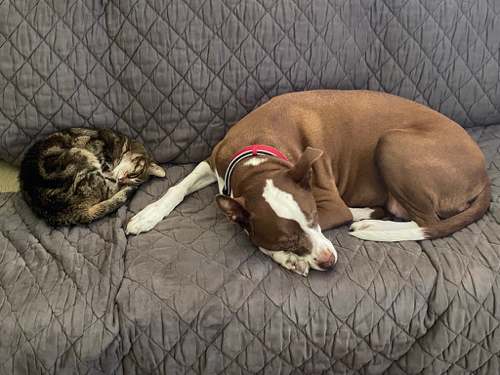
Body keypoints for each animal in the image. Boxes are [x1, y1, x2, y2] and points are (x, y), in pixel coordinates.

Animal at [124, 90, 488, 278]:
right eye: (287, 237)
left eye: (314, 218)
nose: (329, 262)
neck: (257, 157)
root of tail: (485, 175)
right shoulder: (213, 163)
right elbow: (177, 187)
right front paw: (146, 215)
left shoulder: (332, 206)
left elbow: (252, 238)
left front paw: (287, 259)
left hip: (392, 143)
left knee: (426, 221)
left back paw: (371, 222)